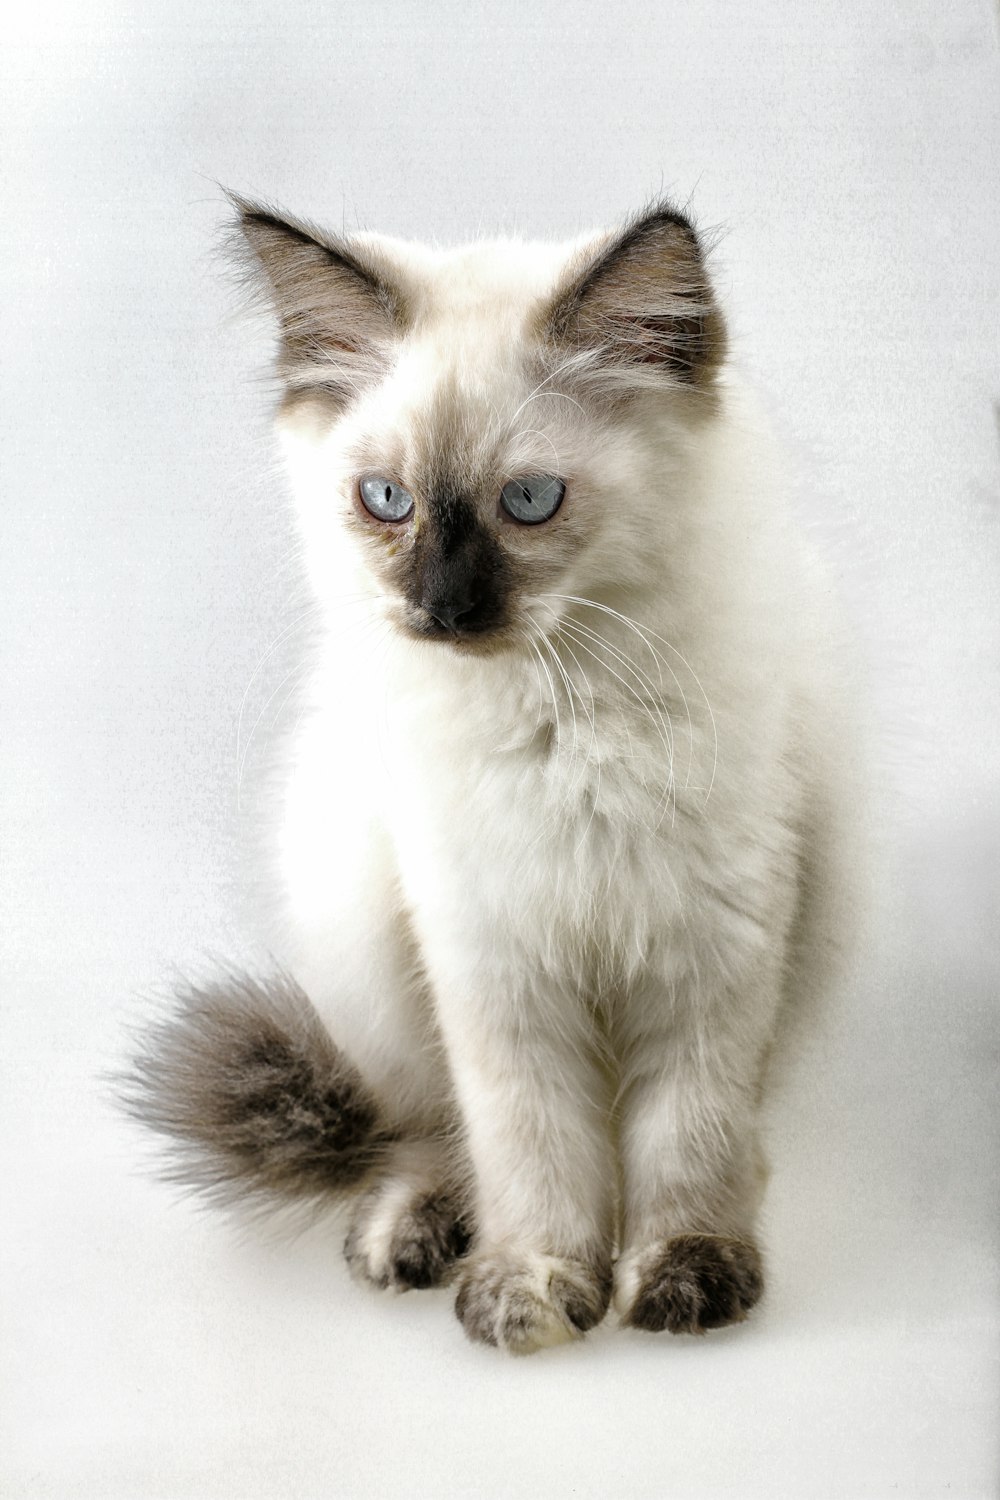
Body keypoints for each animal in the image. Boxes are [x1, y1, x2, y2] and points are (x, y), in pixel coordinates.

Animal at [125, 193, 857, 1356]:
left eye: (530, 501)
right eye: (387, 500)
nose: (443, 609)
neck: (560, 720)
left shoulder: (711, 946)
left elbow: (687, 1141)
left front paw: (681, 1274)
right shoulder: (489, 955)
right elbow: (527, 1144)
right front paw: (533, 1286)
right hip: (373, 952)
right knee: (426, 1131)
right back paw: (418, 1236)